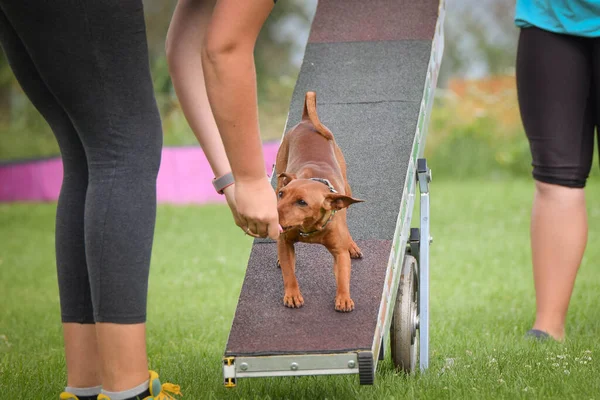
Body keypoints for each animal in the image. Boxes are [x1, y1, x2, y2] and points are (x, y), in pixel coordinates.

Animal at [276, 91, 360, 312]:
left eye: (302, 202)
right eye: (282, 195)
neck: (310, 228)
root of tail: (306, 120)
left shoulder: (339, 252)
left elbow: (343, 275)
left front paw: (343, 298)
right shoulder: (285, 242)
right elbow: (289, 272)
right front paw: (292, 295)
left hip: (346, 186)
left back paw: (352, 244)